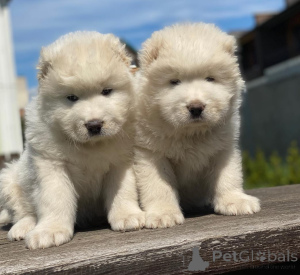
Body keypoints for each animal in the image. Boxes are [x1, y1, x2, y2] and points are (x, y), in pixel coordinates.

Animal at [0, 32, 145, 250]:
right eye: (71, 97)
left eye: (106, 91)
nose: (94, 125)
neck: (91, 146)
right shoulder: (52, 166)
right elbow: (55, 198)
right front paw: (49, 232)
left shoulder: (120, 162)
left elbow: (123, 190)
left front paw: (128, 216)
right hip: (11, 180)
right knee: (23, 212)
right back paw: (22, 228)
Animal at [135, 23, 262, 230]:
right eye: (174, 81)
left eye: (210, 78)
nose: (196, 107)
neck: (190, 134)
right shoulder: (150, 153)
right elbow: (158, 185)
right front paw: (163, 214)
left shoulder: (223, 147)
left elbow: (228, 175)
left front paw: (235, 201)